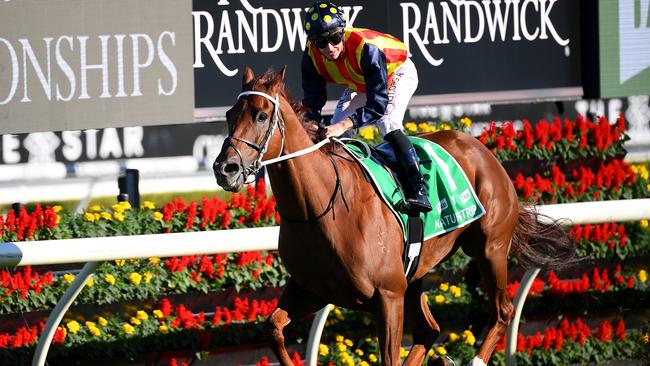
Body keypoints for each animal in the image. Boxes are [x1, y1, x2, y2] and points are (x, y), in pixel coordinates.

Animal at [213, 66, 572, 366]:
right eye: (230, 114)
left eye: (261, 115)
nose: (224, 168)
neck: (321, 209)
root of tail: (480, 147)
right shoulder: (312, 289)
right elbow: (272, 328)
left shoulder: (386, 296)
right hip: (415, 274)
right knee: (429, 329)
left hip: (489, 248)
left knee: (503, 311)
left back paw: (474, 360)